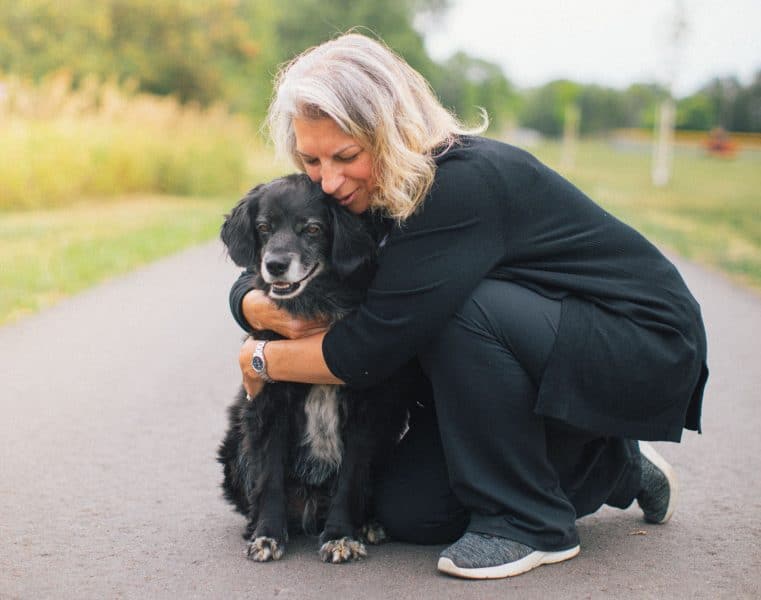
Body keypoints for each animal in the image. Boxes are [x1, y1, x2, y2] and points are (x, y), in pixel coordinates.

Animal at [217, 173, 406, 564]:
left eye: (313, 229)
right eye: (263, 227)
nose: (275, 264)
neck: (315, 305)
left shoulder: (366, 412)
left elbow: (350, 480)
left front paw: (340, 535)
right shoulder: (267, 406)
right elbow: (269, 477)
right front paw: (267, 534)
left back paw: (368, 523)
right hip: (235, 440)